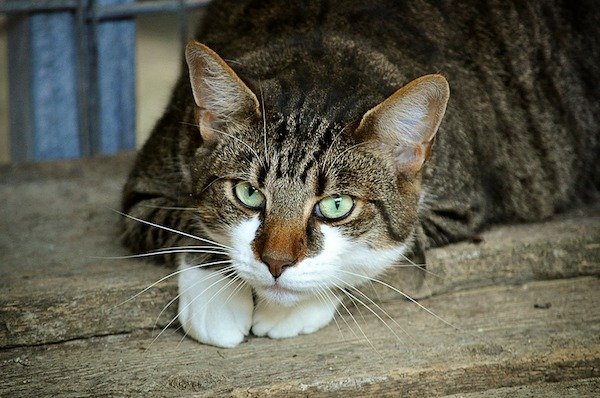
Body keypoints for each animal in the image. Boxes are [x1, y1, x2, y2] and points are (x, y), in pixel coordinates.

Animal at [119, 0, 596, 346]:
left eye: (336, 205)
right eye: (249, 194)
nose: (275, 263)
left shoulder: (459, 205)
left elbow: (385, 251)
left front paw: (288, 311)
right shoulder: (148, 181)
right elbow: (184, 222)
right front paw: (217, 302)